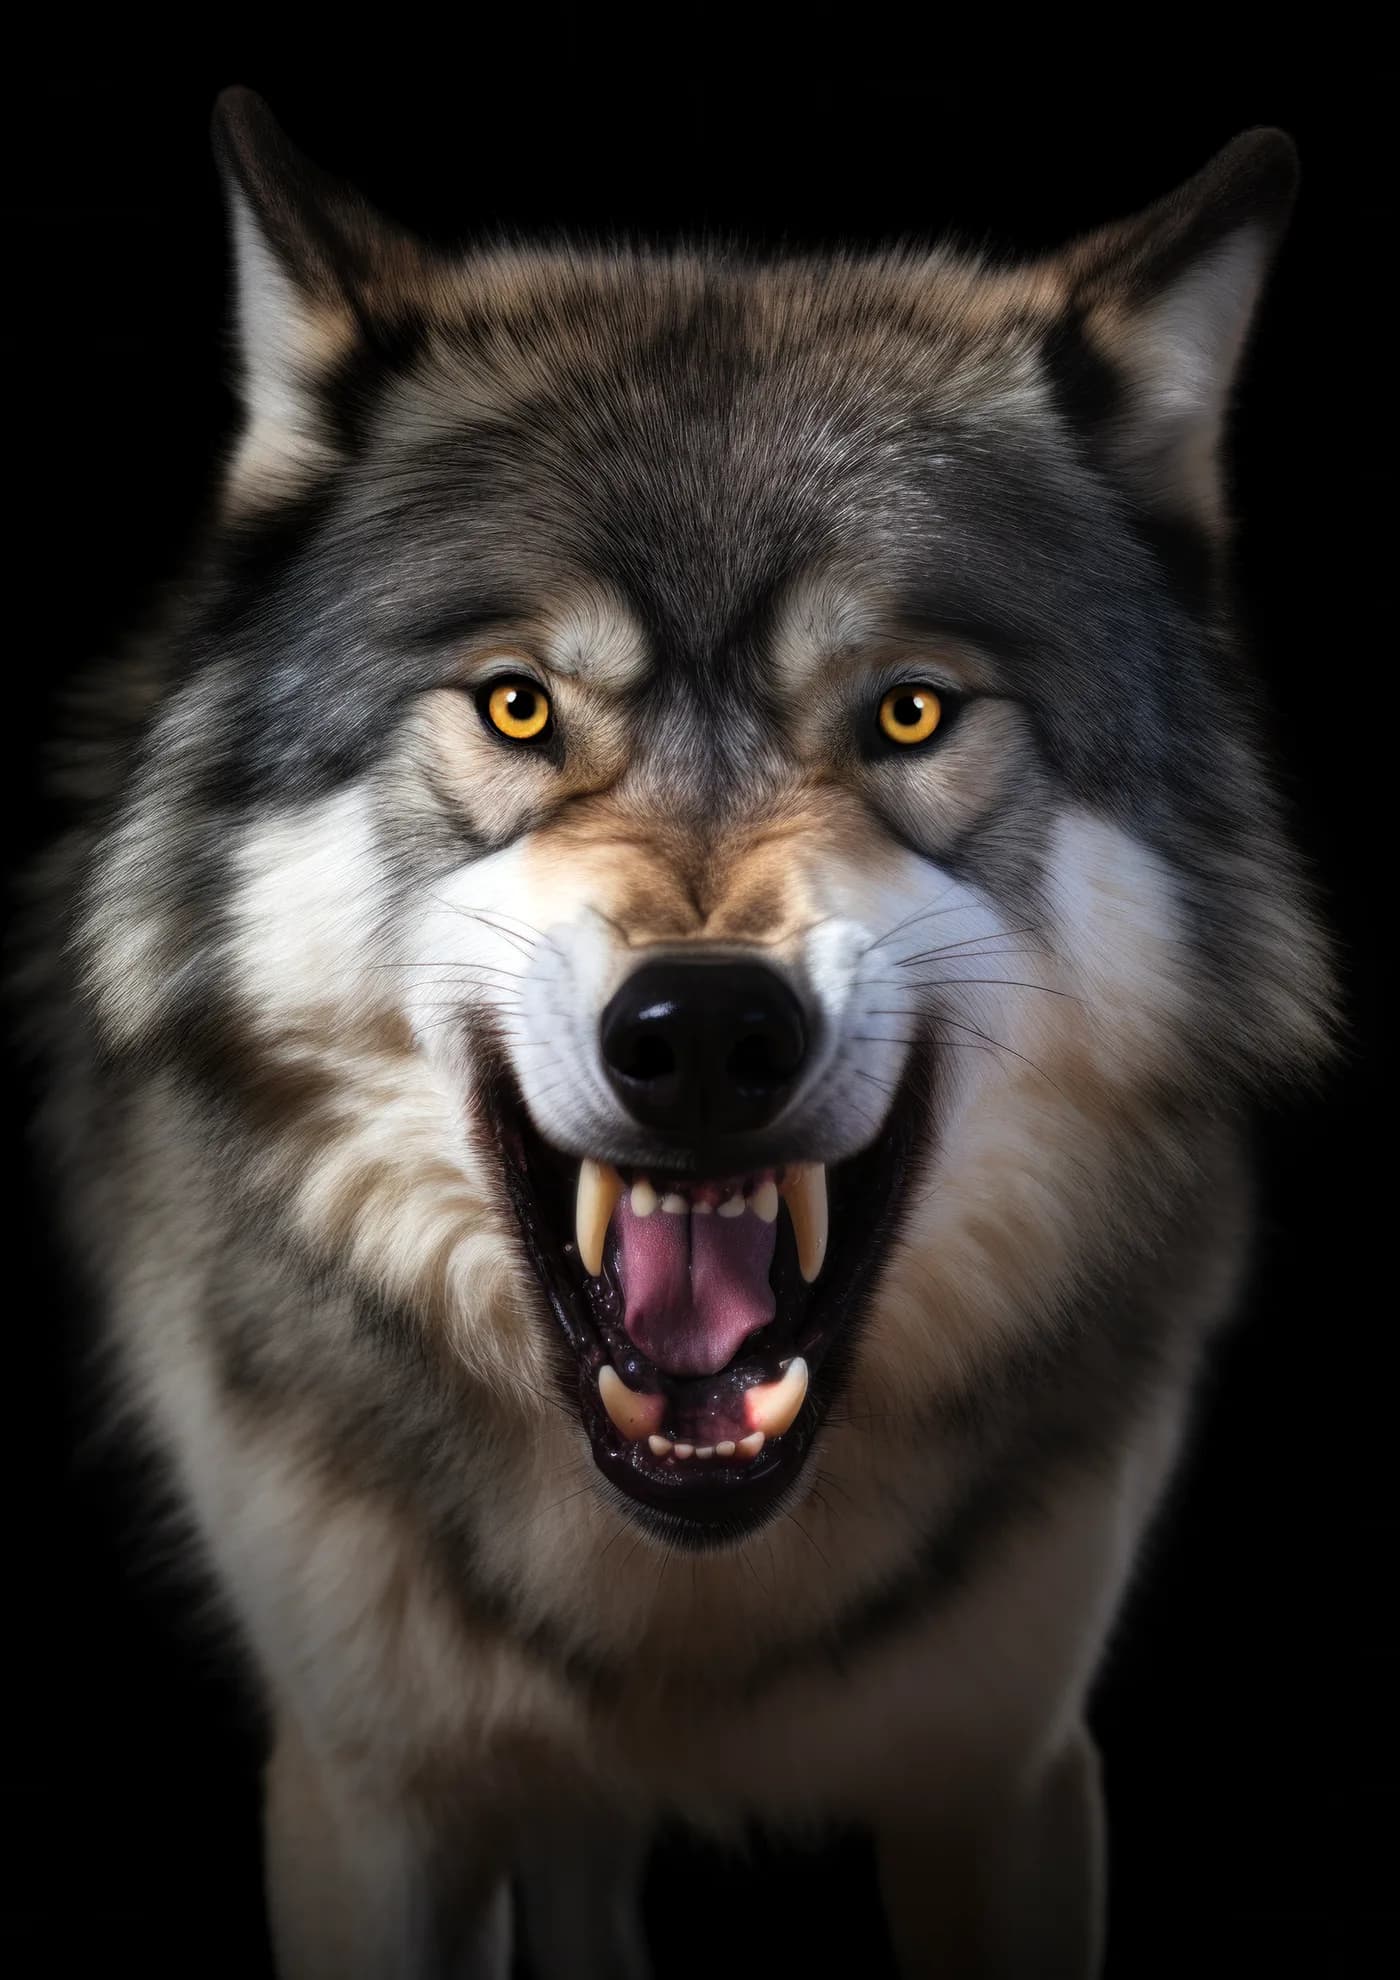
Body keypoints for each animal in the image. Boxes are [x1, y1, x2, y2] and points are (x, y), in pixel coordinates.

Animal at [17, 89, 1335, 1977]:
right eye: (517, 706)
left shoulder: (1008, 1771)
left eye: (910, 712)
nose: (706, 1029)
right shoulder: (364, 1795)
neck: (681, 1585)